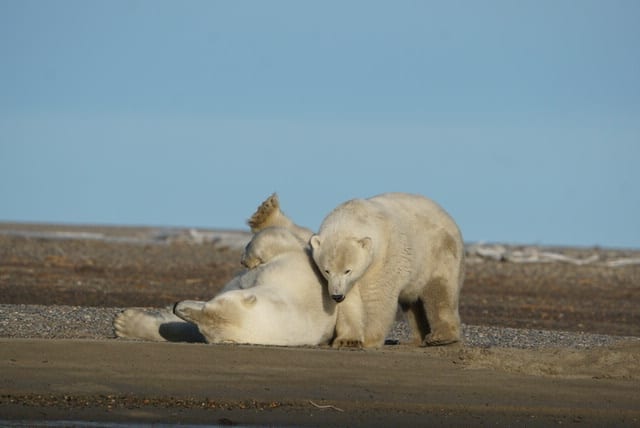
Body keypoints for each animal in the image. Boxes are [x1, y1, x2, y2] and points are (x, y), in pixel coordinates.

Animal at [115, 196, 338, 346]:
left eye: (205, 326)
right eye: (211, 302)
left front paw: (123, 323)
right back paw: (266, 212)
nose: (177, 306)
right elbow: (279, 244)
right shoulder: (290, 270)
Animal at [308, 192, 462, 346]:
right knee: (411, 303)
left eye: (348, 270)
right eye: (327, 271)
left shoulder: (385, 257)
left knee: (440, 292)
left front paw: (369, 339)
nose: (337, 296)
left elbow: (378, 295)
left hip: (437, 254)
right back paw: (414, 340)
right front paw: (347, 340)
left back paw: (440, 337)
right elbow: (350, 302)